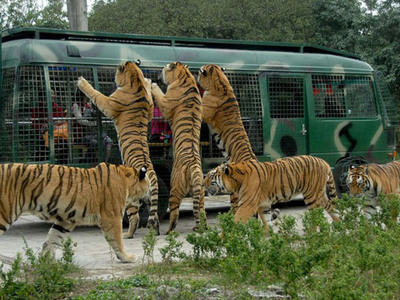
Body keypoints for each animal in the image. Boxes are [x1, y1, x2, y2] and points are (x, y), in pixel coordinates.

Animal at [0, 162, 148, 262]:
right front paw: (127, 257)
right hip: (4, 215)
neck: (126, 179)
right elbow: (117, 240)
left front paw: (46, 262)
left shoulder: (65, 221)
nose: (145, 201)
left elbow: (52, 240)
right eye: (148, 186)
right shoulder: (112, 217)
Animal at [77, 59, 160, 238]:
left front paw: (82, 82)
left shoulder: (108, 103)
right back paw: (155, 232)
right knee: (155, 216)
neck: (135, 81)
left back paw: (127, 235)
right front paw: (149, 82)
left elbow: (96, 94)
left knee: (135, 217)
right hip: (150, 199)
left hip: (130, 199)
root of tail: (150, 172)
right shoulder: (149, 108)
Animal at [151, 61, 206, 234]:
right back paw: (202, 227)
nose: (157, 75)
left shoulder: (166, 103)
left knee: (174, 213)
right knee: (201, 210)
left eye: (163, 69)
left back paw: (168, 231)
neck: (185, 76)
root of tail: (194, 166)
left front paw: (152, 84)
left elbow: (159, 94)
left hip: (175, 187)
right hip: (199, 191)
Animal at [205, 156, 340, 236]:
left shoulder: (247, 205)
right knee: (331, 208)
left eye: (211, 176)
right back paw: (340, 225)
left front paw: (222, 236)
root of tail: (325, 162)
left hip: (312, 195)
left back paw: (311, 232)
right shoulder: (262, 205)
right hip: (319, 194)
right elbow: (265, 219)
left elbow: (235, 220)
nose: (202, 183)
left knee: (316, 215)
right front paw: (266, 233)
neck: (235, 181)